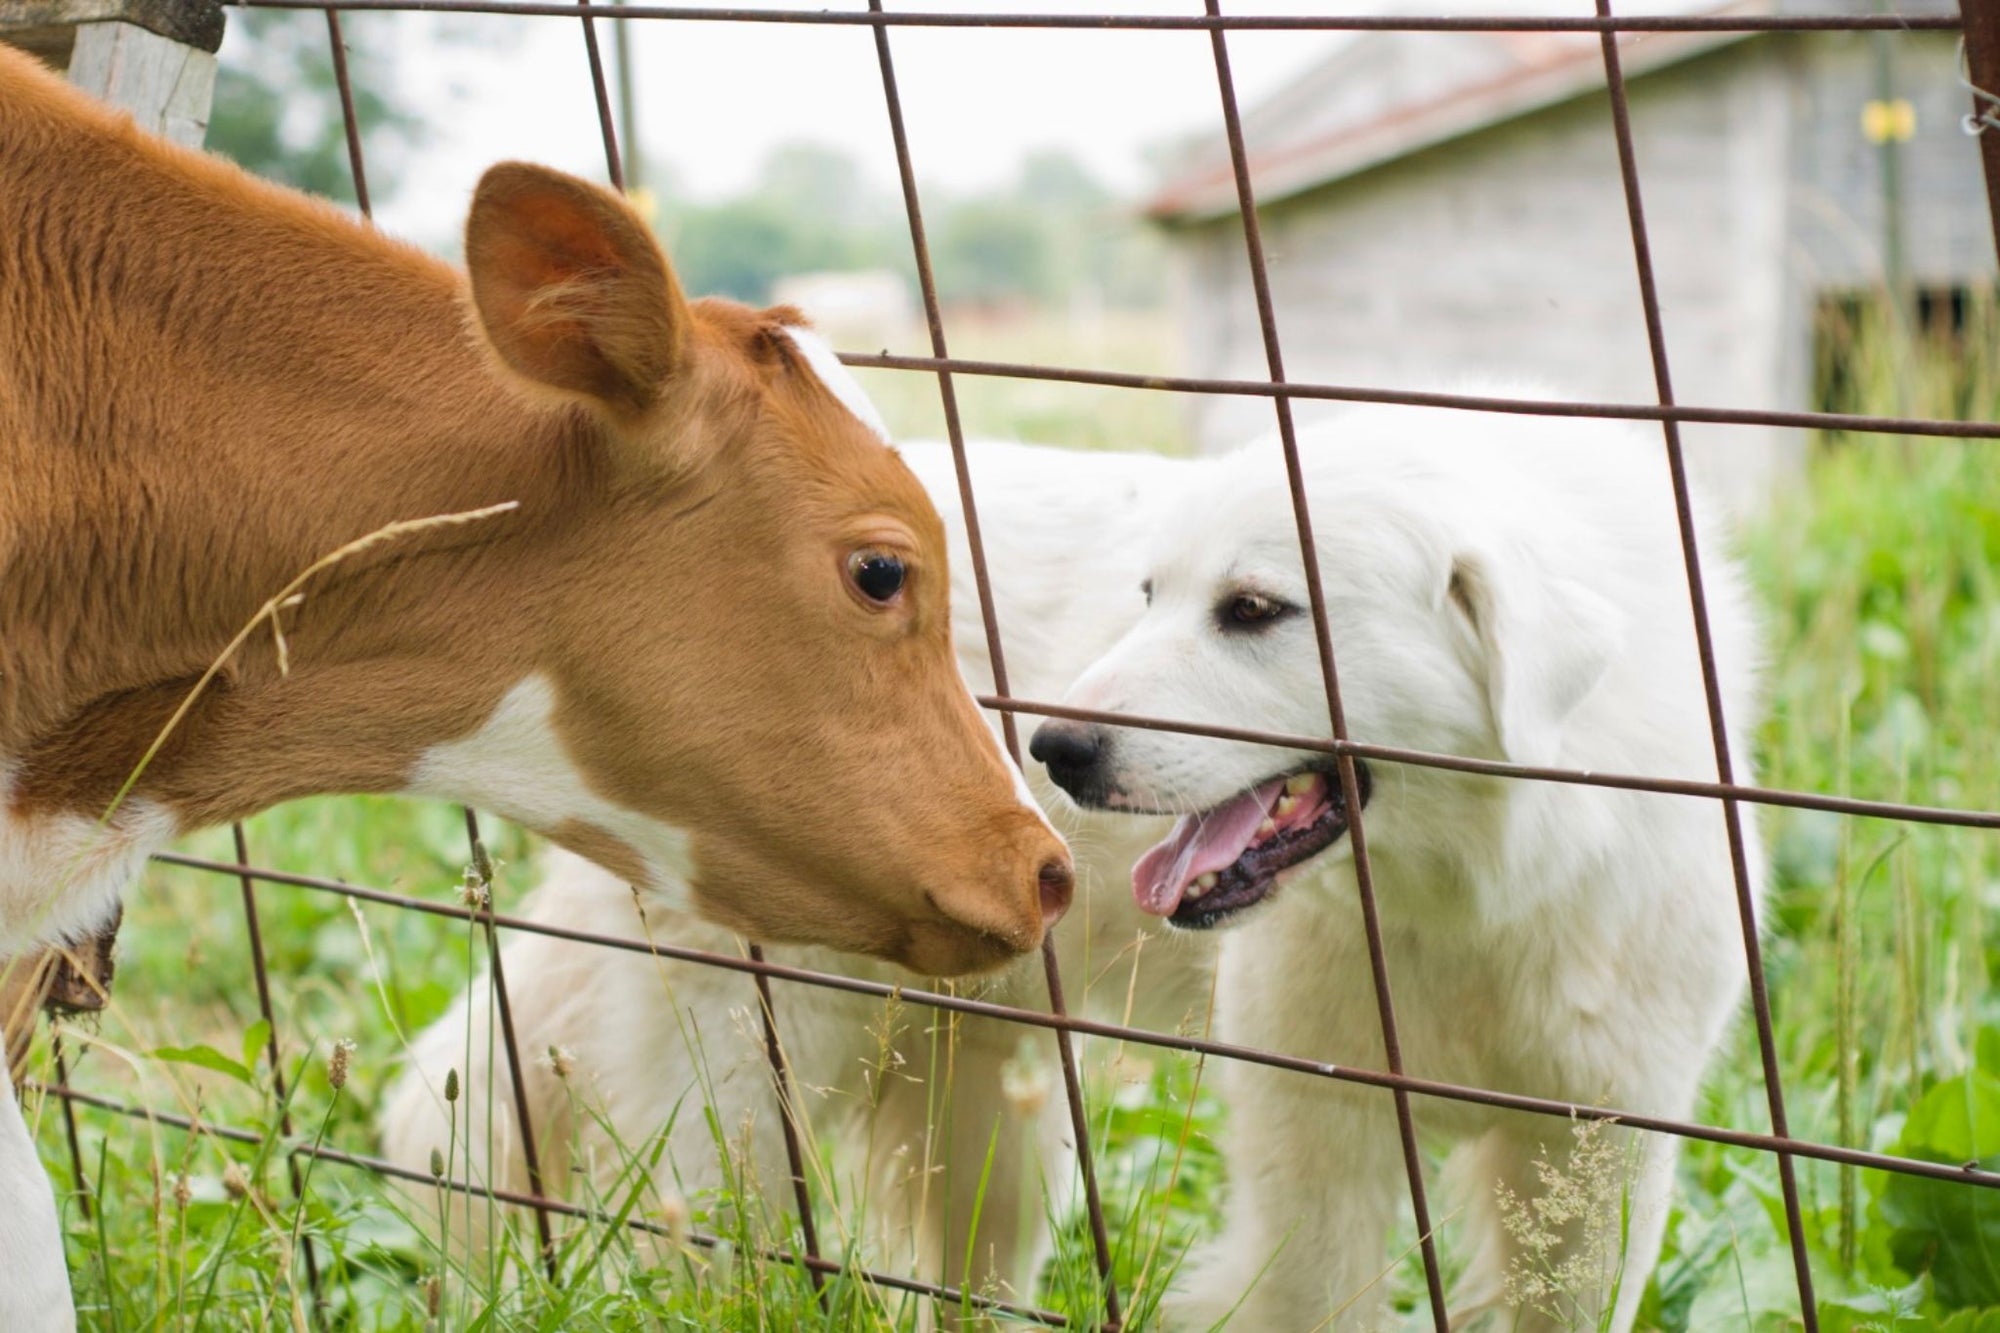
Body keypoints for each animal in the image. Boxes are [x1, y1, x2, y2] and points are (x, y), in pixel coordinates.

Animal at [1032, 404, 1768, 1328]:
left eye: (1251, 609)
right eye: (1149, 596)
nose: (1053, 749)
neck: (1474, 901)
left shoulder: (1601, 1154)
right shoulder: (1315, 1137)